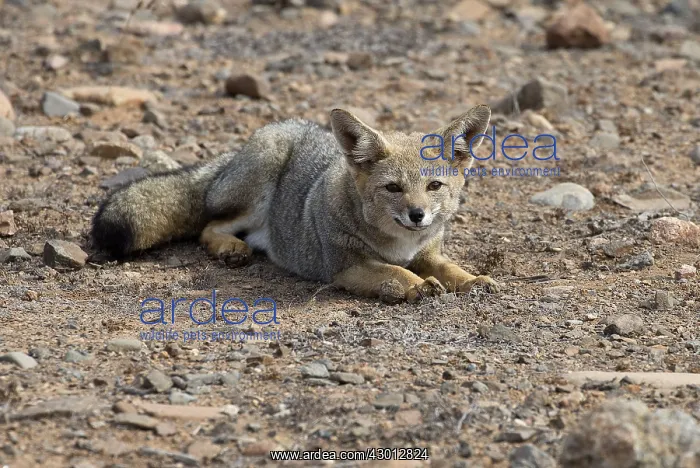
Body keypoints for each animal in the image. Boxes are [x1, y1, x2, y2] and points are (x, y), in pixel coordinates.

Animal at [90, 104, 500, 304]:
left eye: (434, 186)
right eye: (393, 188)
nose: (417, 215)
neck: (401, 243)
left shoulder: (429, 253)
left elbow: (450, 268)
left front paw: (473, 279)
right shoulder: (345, 267)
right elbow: (396, 272)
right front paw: (418, 285)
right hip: (259, 184)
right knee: (210, 225)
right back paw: (229, 248)